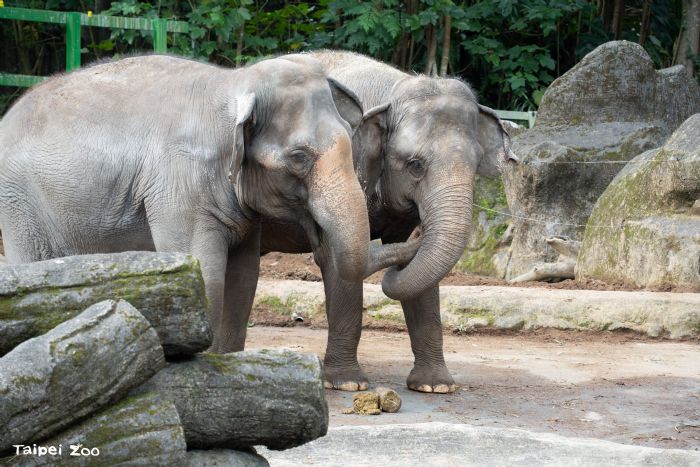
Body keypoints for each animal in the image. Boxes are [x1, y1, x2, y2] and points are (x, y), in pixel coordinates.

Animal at [0, 54, 375, 353]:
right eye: (299, 157)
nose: (316, 237)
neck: (234, 83)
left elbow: (243, 280)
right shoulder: (179, 186)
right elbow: (206, 275)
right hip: (18, 203)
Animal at [257, 50, 517, 393]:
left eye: (475, 165)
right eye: (415, 165)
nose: (420, 232)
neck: (393, 90)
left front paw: (435, 386)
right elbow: (338, 259)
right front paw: (348, 384)